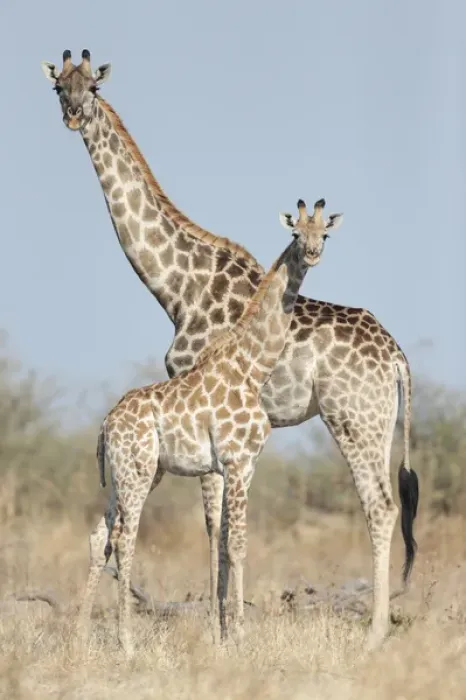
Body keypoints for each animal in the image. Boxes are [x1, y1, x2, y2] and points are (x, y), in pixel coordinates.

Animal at [75, 197, 341, 656]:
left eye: (324, 233)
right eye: (295, 233)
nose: (311, 254)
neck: (253, 366)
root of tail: (106, 426)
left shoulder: (241, 465)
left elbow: (229, 543)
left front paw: (228, 634)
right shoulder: (236, 461)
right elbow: (237, 544)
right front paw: (240, 635)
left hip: (130, 474)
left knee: (101, 535)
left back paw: (77, 637)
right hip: (138, 472)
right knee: (125, 536)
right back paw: (126, 641)